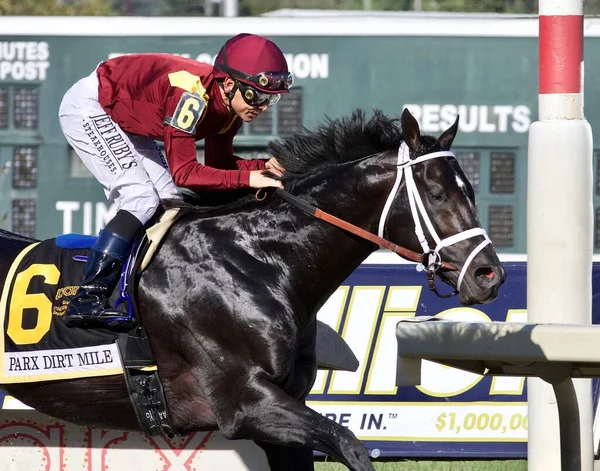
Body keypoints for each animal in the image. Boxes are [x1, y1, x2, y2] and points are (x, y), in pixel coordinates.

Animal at [0, 108, 506, 471]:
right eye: (438, 194)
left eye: (472, 191)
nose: (489, 275)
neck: (259, 261)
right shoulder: (246, 403)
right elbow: (352, 445)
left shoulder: (283, 411)